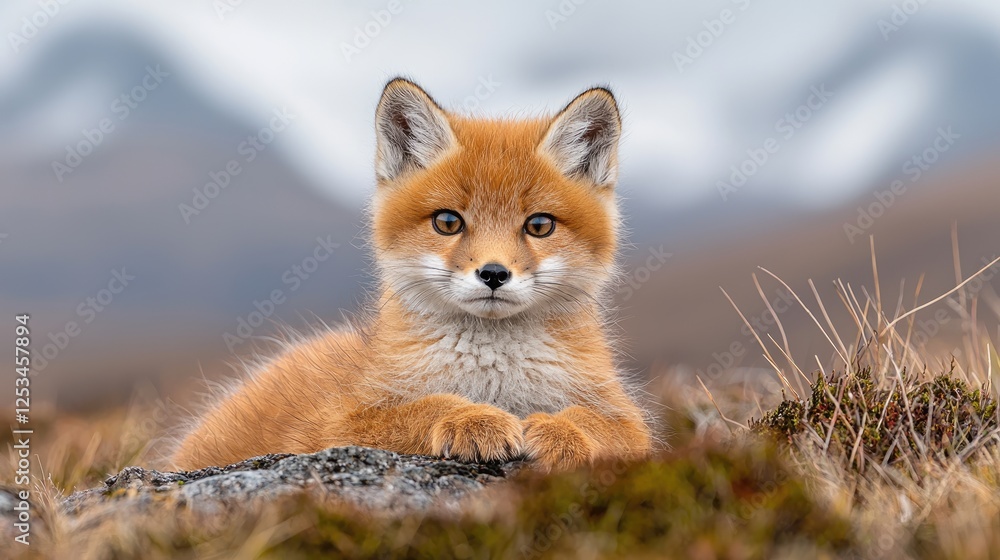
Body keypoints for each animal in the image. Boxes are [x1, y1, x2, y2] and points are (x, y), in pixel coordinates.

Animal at [170, 78, 652, 472]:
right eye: (448, 222)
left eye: (539, 225)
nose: (493, 274)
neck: (494, 377)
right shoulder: (340, 425)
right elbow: (425, 406)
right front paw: (469, 417)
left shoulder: (631, 423)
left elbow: (597, 423)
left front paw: (561, 433)